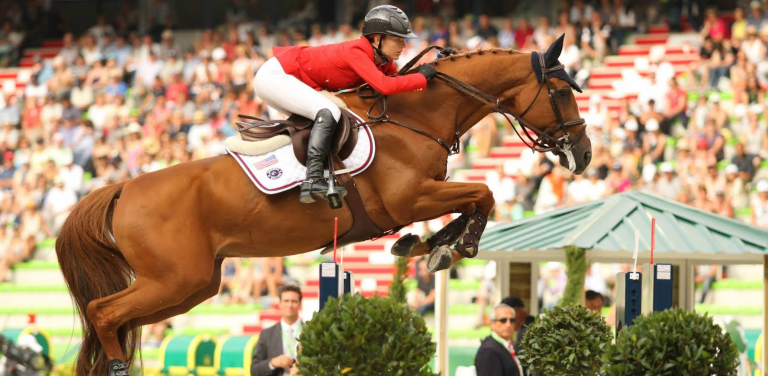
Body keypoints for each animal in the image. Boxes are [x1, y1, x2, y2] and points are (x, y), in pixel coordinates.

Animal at [57, 36, 592, 376]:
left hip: (193, 285)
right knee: (104, 312)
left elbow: (473, 200)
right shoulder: (411, 197)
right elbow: (484, 193)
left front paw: (426, 245)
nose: (584, 154)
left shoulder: (421, 196)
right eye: (560, 91)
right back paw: (118, 366)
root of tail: (122, 190)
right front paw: (447, 247)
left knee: (119, 320)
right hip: (174, 279)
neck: (417, 116)